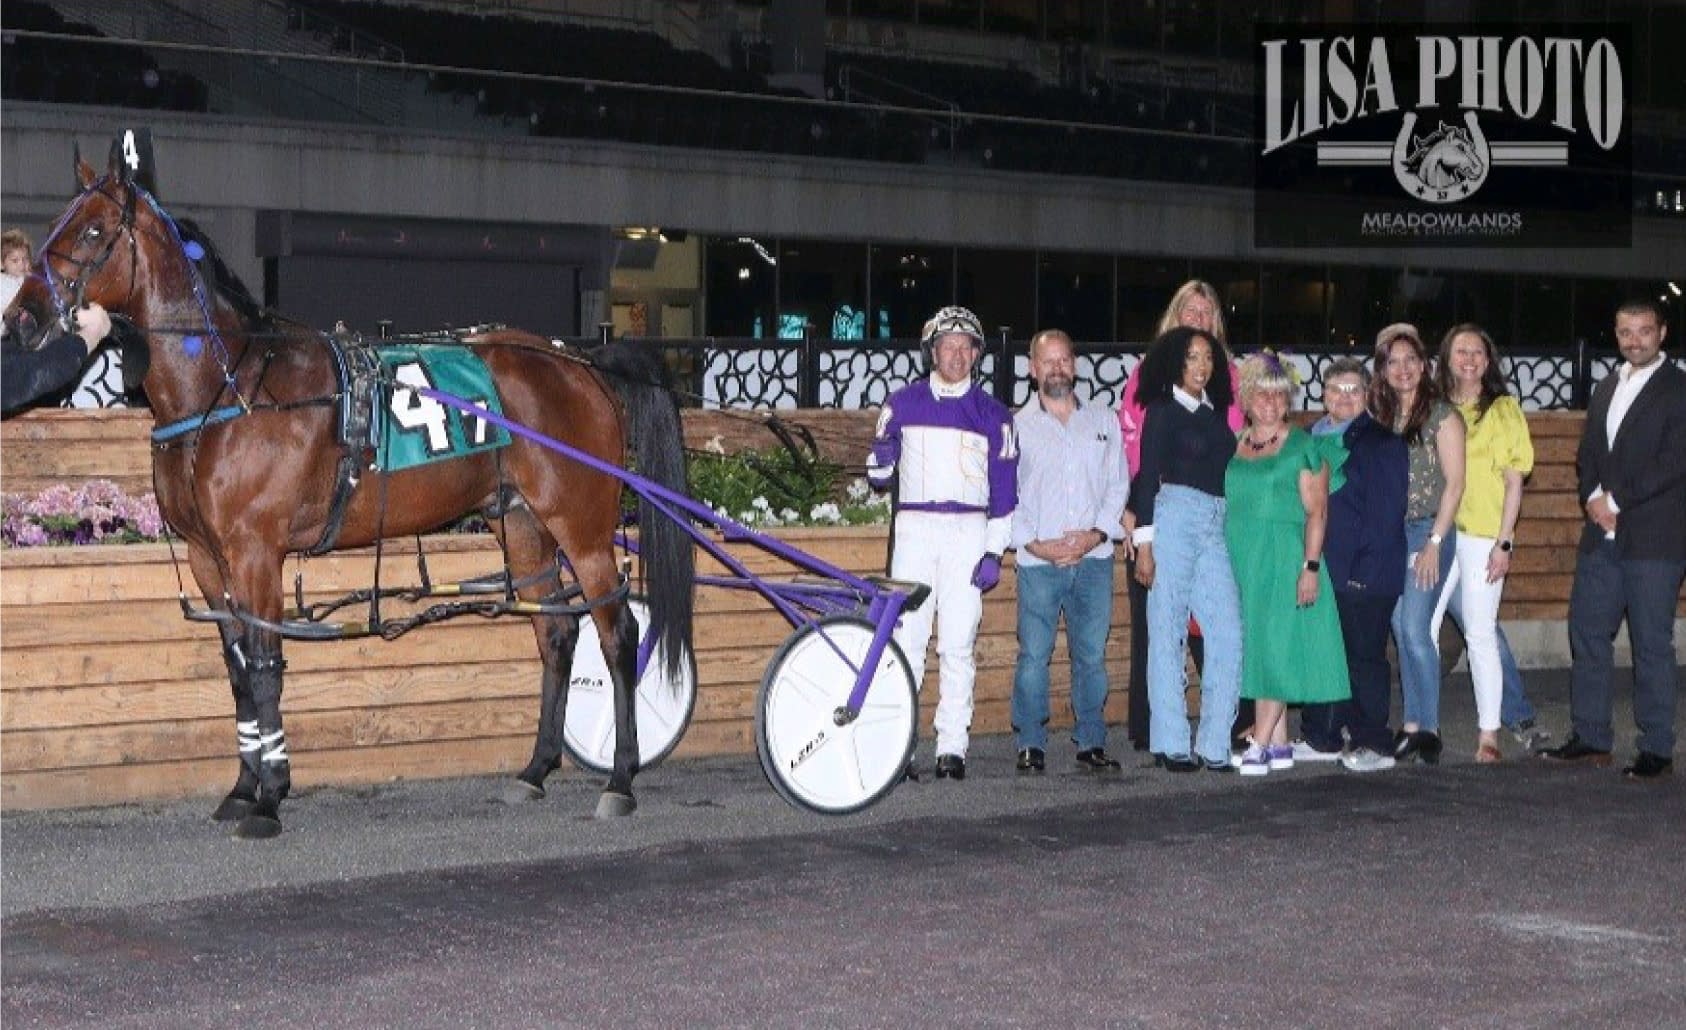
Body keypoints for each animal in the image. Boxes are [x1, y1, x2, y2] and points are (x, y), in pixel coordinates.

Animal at [4, 140, 691, 842]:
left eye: (92, 231)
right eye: (56, 224)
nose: (22, 318)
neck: (230, 389)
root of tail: (579, 362)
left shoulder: (257, 553)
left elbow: (266, 667)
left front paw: (271, 797)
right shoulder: (207, 558)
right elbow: (237, 672)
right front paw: (243, 788)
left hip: (580, 522)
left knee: (615, 632)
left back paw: (621, 779)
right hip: (521, 521)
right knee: (555, 632)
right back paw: (534, 770)